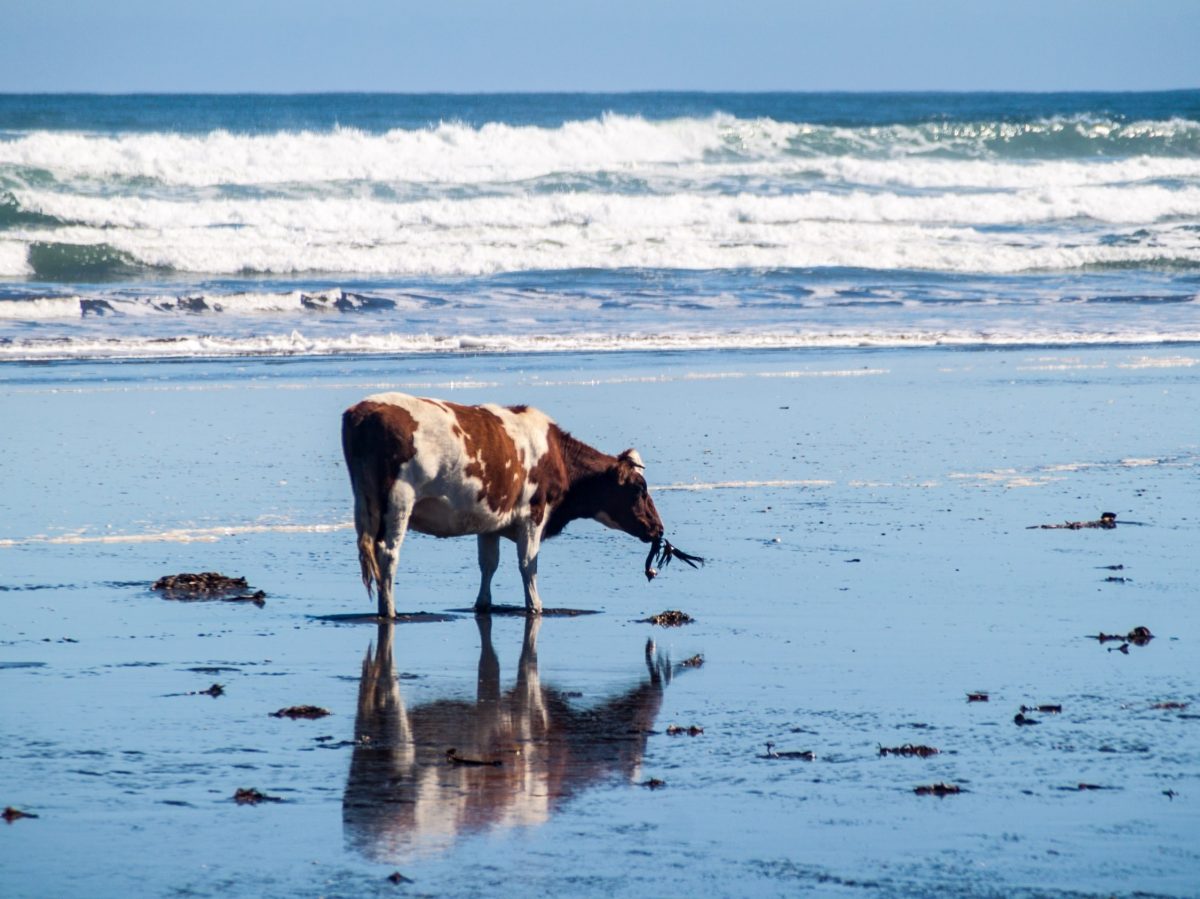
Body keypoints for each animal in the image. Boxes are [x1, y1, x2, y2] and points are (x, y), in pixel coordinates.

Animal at [340, 393, 696, 619]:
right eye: (639, 488)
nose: (658, 528)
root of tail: (363, 411)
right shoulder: (533, 514)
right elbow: (528, 562)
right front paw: (535, 605)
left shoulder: (489, 519)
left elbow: (489, 564)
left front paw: (483, 604)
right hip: (398, 502)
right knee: (388, 554)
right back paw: (389, 611)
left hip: (365, 504)